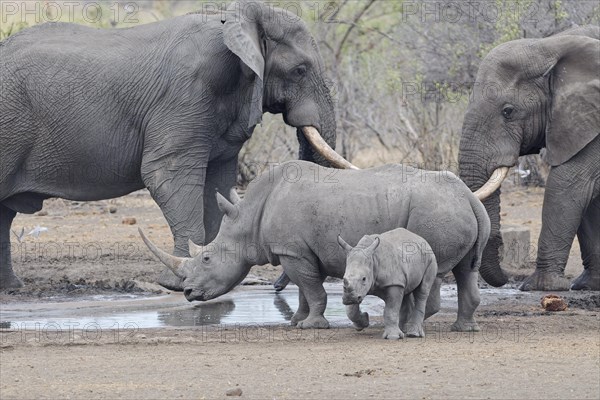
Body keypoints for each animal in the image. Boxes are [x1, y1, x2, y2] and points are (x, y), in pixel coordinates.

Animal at [0, 0, 354, 290]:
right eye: (300, 70)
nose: (278, 286)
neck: (235, 18)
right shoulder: (185, 93)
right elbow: (167, 175)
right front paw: (177, 283)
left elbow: (218, 183)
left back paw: (12, 288)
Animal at [142, 159, 492, 332]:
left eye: (206, 259)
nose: (188, 293)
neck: (248, 218)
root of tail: (470, 197)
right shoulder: (300, 251)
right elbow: (304, 289)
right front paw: (298, 321)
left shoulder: (293, 251)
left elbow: (312, 289)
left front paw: (312, 325)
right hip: (454, 211)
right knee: (465, 270)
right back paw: (464, 329)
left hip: (433, 213)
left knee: (433, 272)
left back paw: (406, 325)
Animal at [458, 26, 596, 292]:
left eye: (508, 111)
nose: (506, 278)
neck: (548, 46)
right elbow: (589, 199)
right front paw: (587, 285)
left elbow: (569, 186)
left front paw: (541, 287)